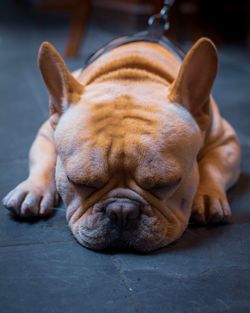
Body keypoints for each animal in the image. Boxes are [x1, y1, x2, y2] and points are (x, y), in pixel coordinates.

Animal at [1, 37, 240, 250]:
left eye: (166, 184)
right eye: (79, 182)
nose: (122, 211)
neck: (132, 75)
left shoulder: (226, 141)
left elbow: (212, 166)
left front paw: (208, 196)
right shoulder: (46, 132)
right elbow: (45, 160)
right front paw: (33, 189)